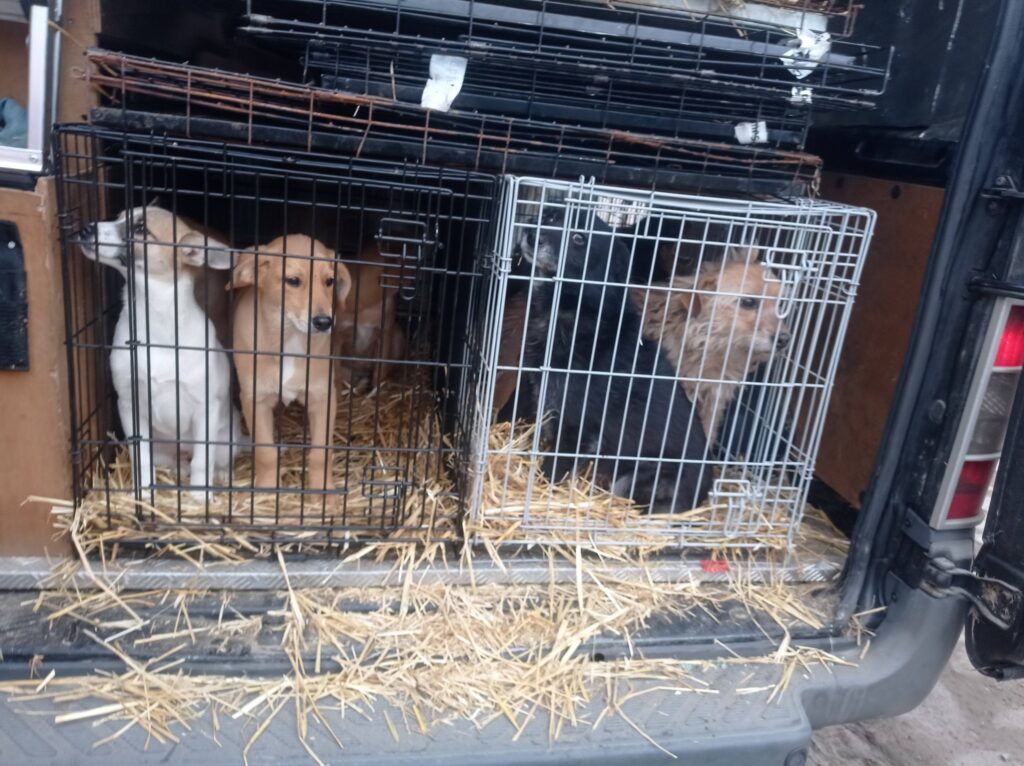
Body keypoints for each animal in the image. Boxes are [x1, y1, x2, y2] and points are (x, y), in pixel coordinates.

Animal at [77, 205, 239, 498]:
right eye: (118, 217)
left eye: (141, 228)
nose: (85, 229)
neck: (156, 320)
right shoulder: (129, 403)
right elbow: (141, 457)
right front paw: (143, 492)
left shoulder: (205, 408)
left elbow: (203, 460)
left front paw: (200, 496)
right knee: (174, 462)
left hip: (227, 437)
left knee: (211, 459)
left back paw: (220, 474)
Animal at [229, 235, 353, 497]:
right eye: (293, 281)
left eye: (330, 281)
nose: (324, 322)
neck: (290, 338)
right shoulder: (255, 399)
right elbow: (265, 452)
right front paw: (266, 492)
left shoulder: (321, 398)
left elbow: (320, 454)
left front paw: (323, 494)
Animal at [332, 241, 406, 391]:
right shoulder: (337, 336)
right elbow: (336, 374)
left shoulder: (384, 333)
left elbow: (380, 371)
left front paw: (377, 391)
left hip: (398, 335)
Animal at [517, 208, 711, 512]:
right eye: (550, 217)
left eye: (579, 238)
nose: (531, 233)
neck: (578, 309)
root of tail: (704, 494)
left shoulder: (576, 425)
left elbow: (553, 469)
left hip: (634, 479)